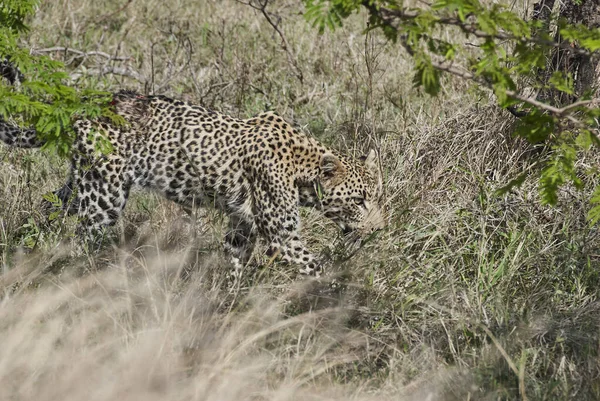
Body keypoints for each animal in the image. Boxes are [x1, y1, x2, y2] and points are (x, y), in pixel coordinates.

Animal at [0, 90, 384, 276]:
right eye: (359, 200)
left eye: (375, 197)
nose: (379, 229)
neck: (302, 168)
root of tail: (82, 105)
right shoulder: (282, 235)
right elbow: (315, 267)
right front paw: (339, 298)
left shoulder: (241, 225)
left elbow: (235, 263)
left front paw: (231, 301)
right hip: (104, 194)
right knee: (82, 238)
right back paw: (77, 274)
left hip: (81, 182)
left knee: (49, 206)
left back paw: (33, 251)